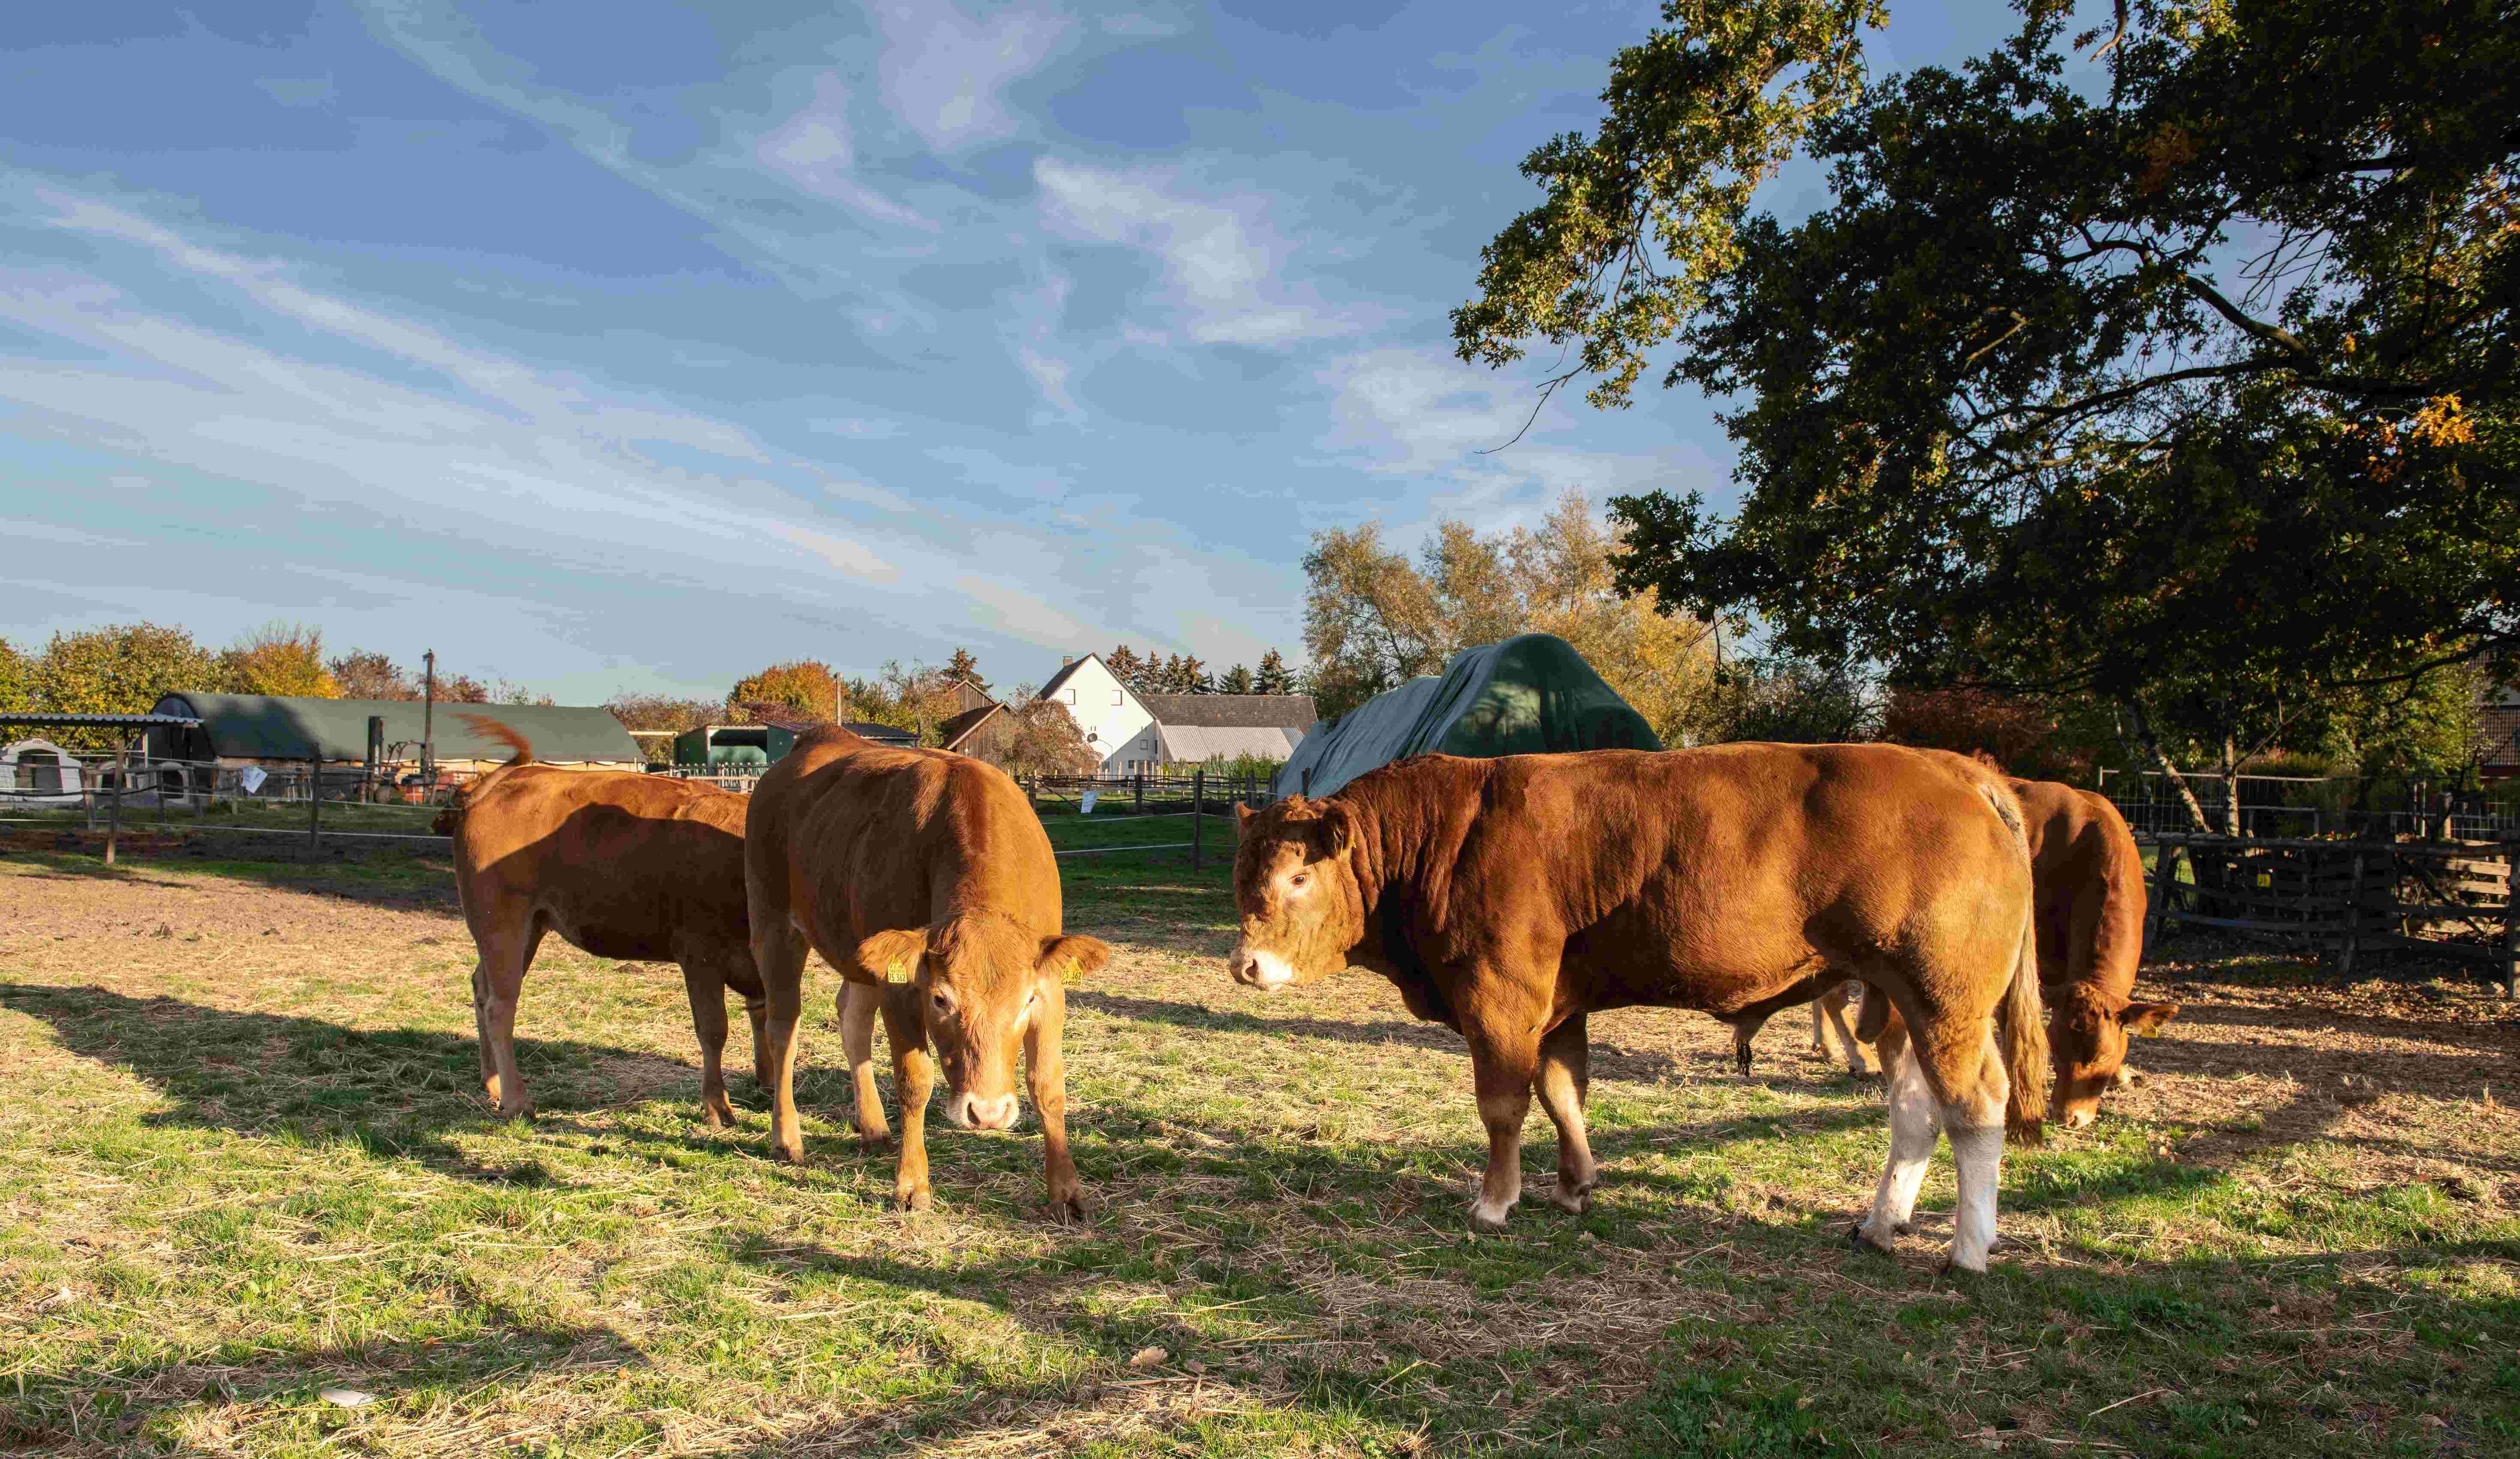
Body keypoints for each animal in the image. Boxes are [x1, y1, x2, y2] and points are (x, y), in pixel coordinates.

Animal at [438, 725, 766, 1124]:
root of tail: (495, 786)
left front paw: (768, 1085)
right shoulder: (700, 957)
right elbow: (714, 1030)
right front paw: (719, 1108)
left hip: (527, 929)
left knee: (482, 987)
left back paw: (493, 1083)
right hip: (503, 925)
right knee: (501, 1005)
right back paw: (518, 1101)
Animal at [736, 731, 1114, 1219]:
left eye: (1026, 1001)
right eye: (940, 999)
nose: (987, 1113)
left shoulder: (1052, 989)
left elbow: (1047, 1084)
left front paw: (1066, 1191)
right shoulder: (901, 990)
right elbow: (915, 1080)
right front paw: (912, 1184)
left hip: (857, 952)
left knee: (852, 1021)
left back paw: (874, 1127)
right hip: (773, 926)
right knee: (784, 1029)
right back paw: (786, 1137)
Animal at [1235, 746, 2046, 1275]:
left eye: (1299, 875)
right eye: (1247, 872)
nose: (1245, 965)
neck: (1448, 834)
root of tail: (1959, 768)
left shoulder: (1501, 995)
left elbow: (1504, 1105)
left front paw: (1495, 1201)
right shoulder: (1559, 1005)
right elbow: (1563, 1091)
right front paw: (1574, 1184)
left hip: (1946, 997)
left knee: (1978, 1104)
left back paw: (1968, 1247)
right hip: (1905, 1002)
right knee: (1915, 1109)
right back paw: (1880, 1222)